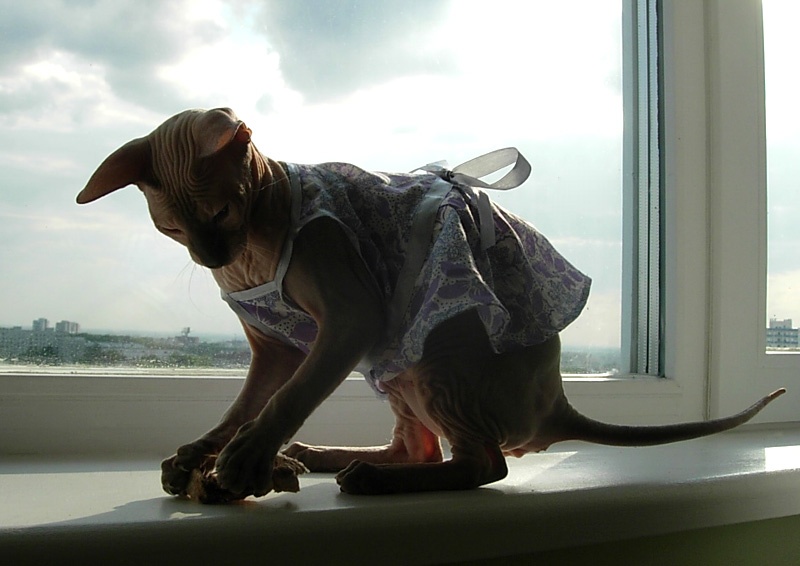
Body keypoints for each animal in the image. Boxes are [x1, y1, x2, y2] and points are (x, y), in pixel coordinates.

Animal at [79, 107, 784, 497]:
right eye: (172, 229)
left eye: (222, 212)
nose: (210, 257)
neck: (254, 249)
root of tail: (554, 404)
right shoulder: (276, 348)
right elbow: (246, 404)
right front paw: (202, 451)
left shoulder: (347, 320)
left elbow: (284, 401)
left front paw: (245, 459)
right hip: (394, 368)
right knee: (417, 448)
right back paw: (330, 458)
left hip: (433, 358)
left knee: (482, 465)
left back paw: (368, 479)